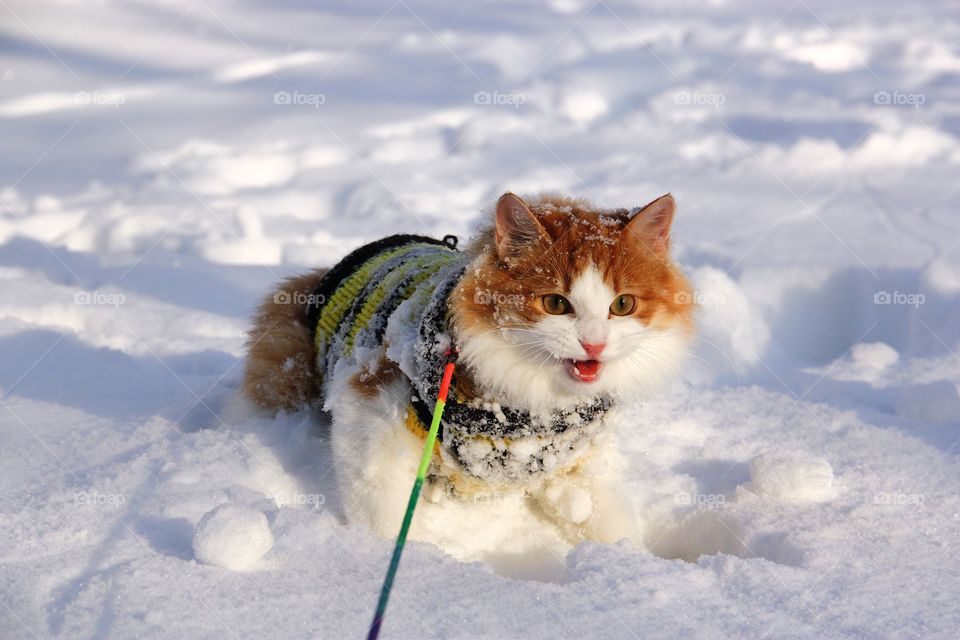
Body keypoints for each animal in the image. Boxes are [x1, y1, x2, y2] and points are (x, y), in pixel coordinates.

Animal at [240, 192, 688, 572]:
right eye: (555, 303)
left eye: (623, 304)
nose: (594, 344)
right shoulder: (369, 408)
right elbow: (382, 511)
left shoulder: (574, 457)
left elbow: (607, 518)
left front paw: (635, 565)